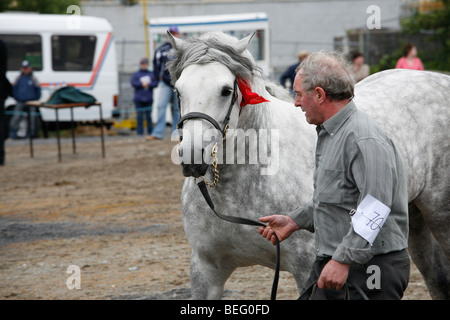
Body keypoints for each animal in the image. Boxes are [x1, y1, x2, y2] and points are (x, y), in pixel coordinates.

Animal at [169, 31, 450, 298]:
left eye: (226, 90)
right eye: (178, 90)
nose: (192, 158)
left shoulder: (307, 269)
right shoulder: (205, 270)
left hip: (440, 216)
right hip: (414, 220)